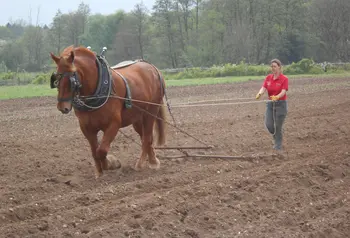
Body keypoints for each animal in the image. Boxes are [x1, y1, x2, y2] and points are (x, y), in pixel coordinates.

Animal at [49, 45, 168, 178]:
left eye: (72, 78)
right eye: (56, 78)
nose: (62, 107)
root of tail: (153, 68)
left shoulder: (113, 124)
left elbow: (102, 150)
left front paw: (111, 164)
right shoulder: (86, 128)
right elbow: (95, 151)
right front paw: (99, 173)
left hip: (151, 112)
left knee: (147, 138)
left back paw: (142, 164)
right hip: (137, 119)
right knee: (146, 138)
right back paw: (153, 161)